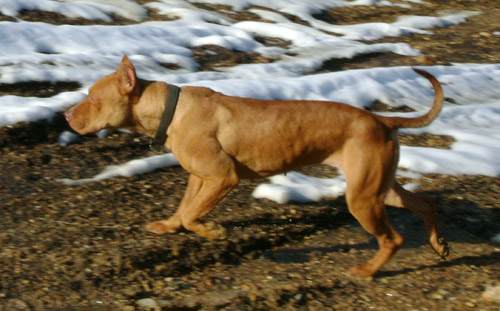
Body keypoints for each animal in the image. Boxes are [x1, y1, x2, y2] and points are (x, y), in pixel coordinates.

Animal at [63, 56, 450, 278]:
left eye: (93, 99)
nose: (66, 115)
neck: (169, 109)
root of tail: (383, 120)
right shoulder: (199, 177)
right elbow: (184, 209)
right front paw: (171, 226)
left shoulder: (223, 176)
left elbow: (192, 215)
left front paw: (213, 232)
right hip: (378, 187)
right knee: (425, 204)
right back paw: (438, 244)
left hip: (362, 198)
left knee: (393, 238)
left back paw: (367, 270)